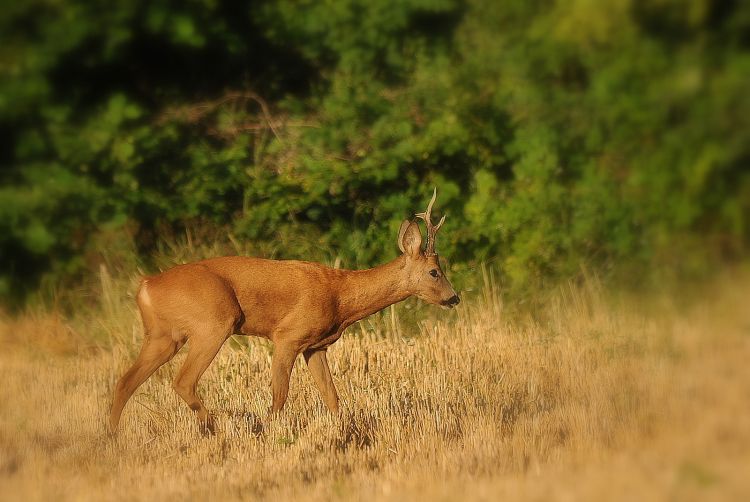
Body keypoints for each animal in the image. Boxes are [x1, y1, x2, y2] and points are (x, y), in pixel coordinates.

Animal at [108, 190, 462, 434]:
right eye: (434, 272)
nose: (454, 297)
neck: (341, 296)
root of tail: (145, 286)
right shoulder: (287, 336)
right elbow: (280, 396)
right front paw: (268, 432)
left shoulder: (315, 346)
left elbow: (332, 397)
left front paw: (347, 433)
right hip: (214, 321)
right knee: (182, 381)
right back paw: (217, 427)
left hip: (163, 335)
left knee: (125, 381)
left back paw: (113, 439)